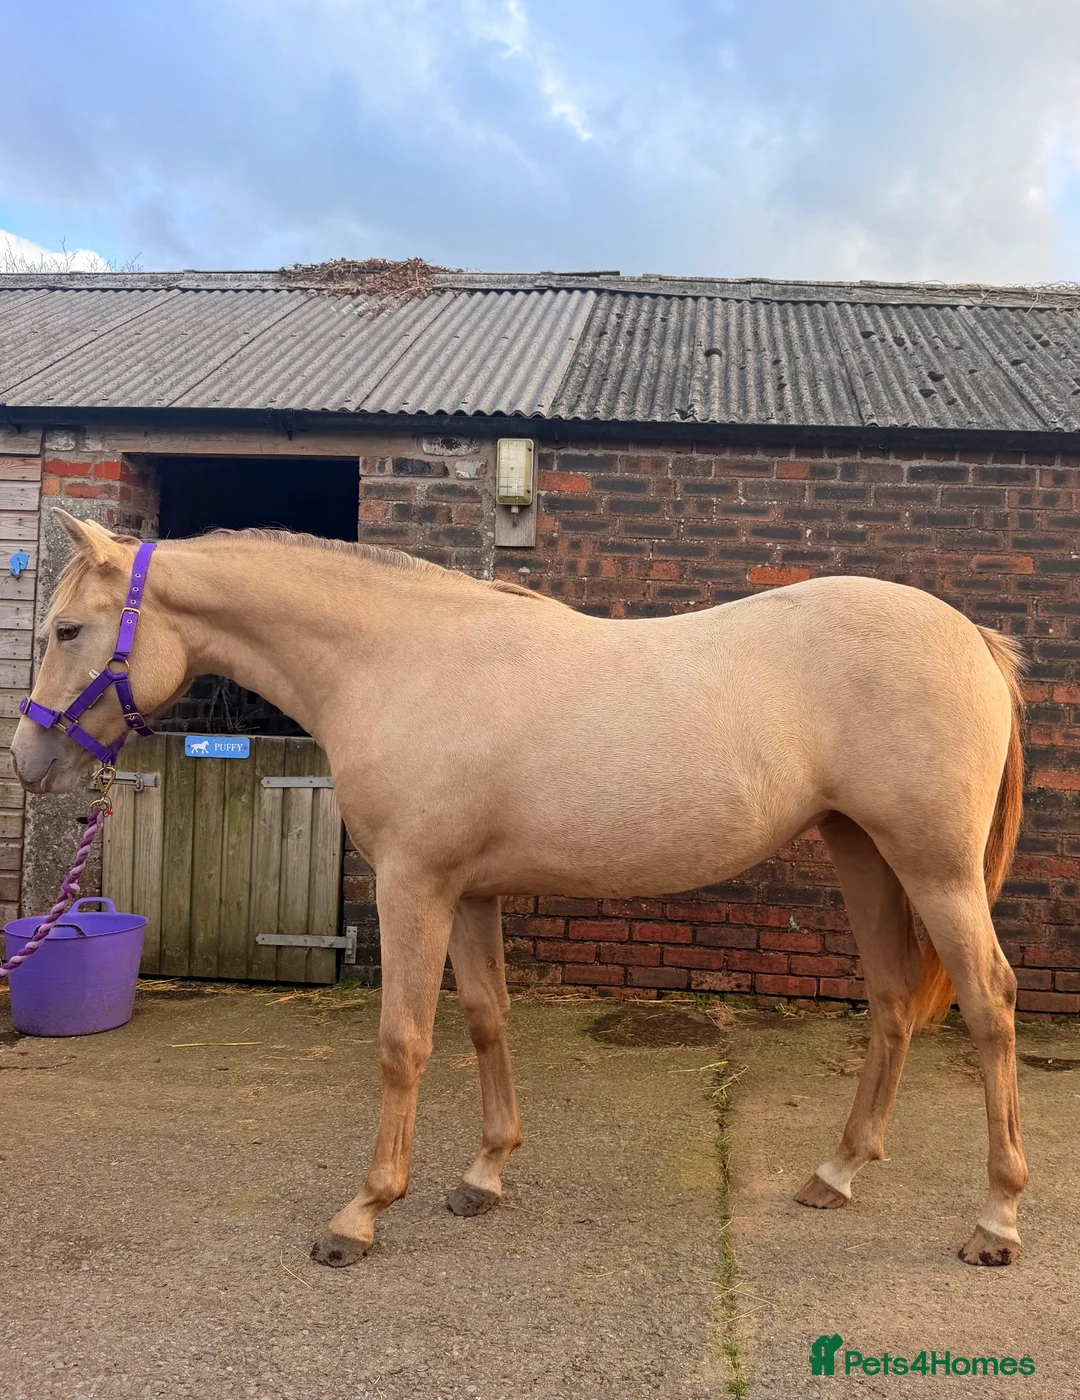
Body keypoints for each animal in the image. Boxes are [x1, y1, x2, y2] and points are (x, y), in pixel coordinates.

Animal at [11, 509, 1027, 1269]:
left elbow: (404, 1042)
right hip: (864, 853)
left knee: (989, 1003)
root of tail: (972, 637)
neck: (399, 659)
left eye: (67, 630)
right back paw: (838, 1173)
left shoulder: (414, 885)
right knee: (893, 1001)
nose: (28, 761)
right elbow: (485, 1019)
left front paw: (361, 1214)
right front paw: (484, 1176)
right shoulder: (468, 892)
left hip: (934, 868)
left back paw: (996, 1219)